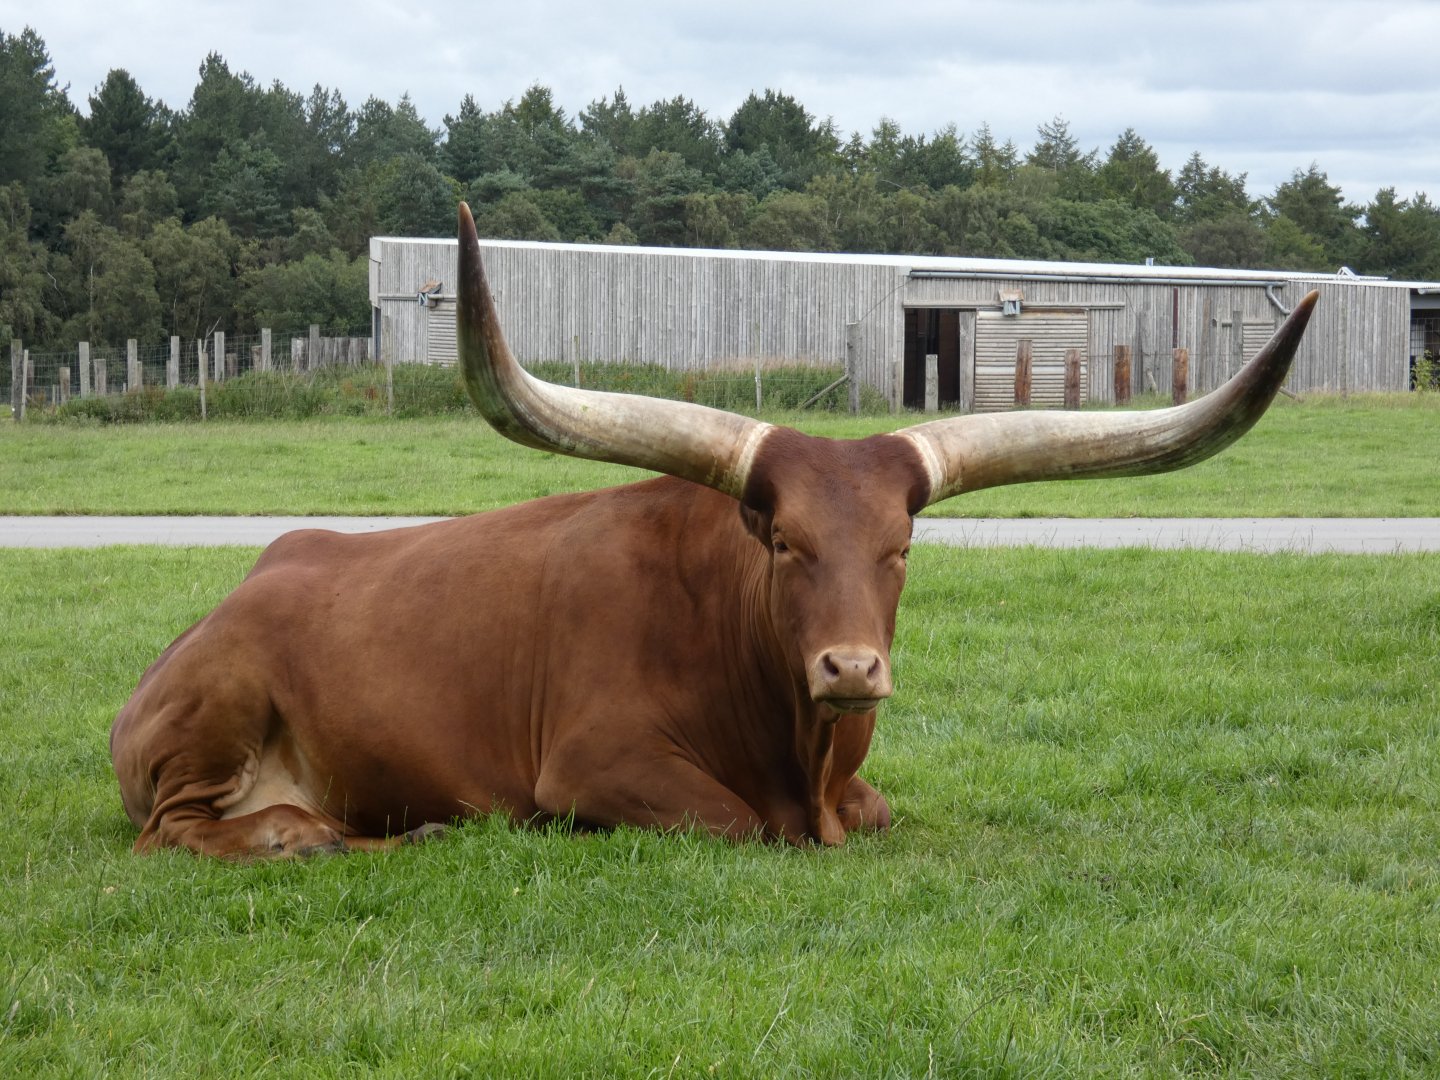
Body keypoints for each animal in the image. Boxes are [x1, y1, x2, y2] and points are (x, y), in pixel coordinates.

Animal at [109, 203, 1318, 857]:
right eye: (782, 542)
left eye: (902, 548)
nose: (851, 668)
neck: (797, 744)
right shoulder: (597, 766)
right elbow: (736, 822)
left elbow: (877, 810)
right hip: (218, 714)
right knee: (176, 828)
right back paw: (292, 831)